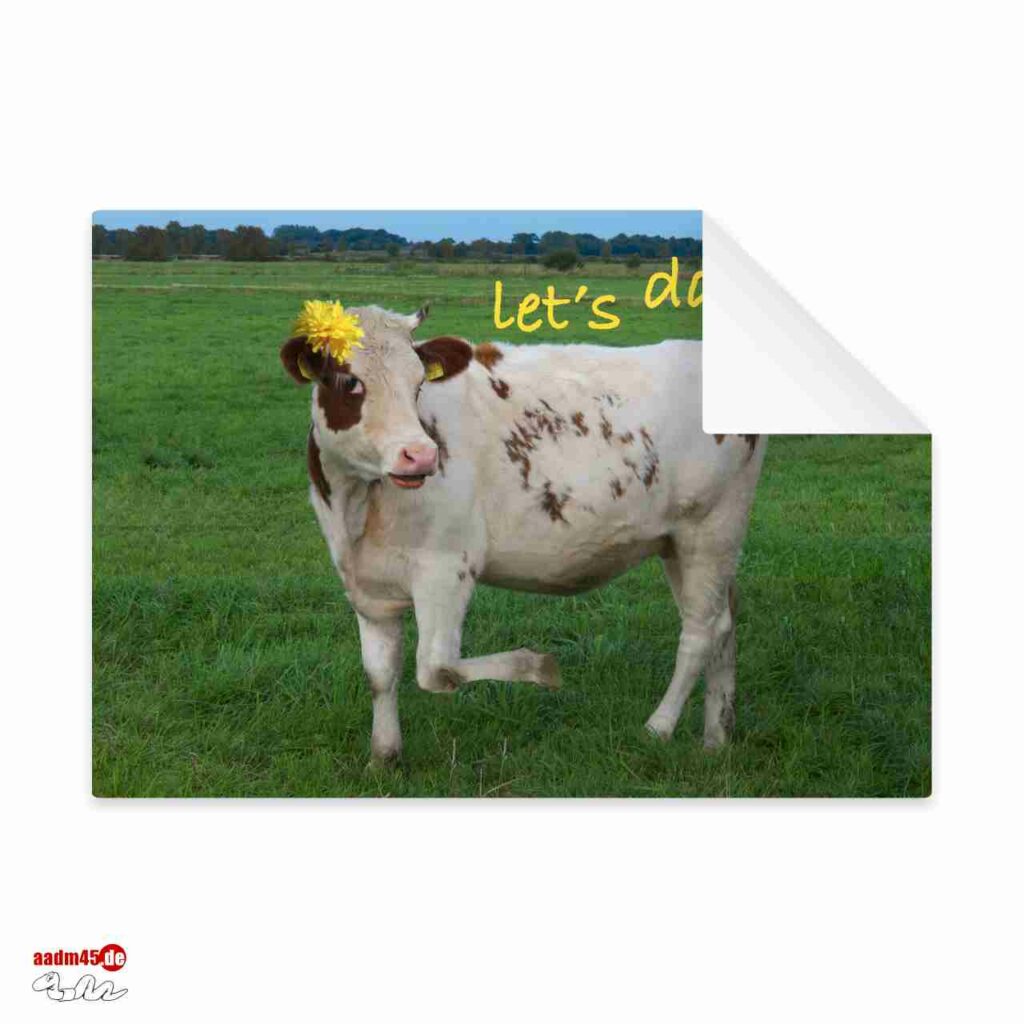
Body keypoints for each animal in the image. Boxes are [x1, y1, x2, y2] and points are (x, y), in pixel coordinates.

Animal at [280, 305, 765, 763]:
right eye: (349, 381)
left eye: (418, 384)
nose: (420, 455)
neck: (356, 508)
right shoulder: (365, 586)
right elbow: (380, 675)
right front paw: (384, 756)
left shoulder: (446, 569)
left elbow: (435, 669)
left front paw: (539, 667)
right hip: (681, 543)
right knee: (723, 621)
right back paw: (716, 735)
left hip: (711, 529)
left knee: (700, 632)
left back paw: (660, 726)